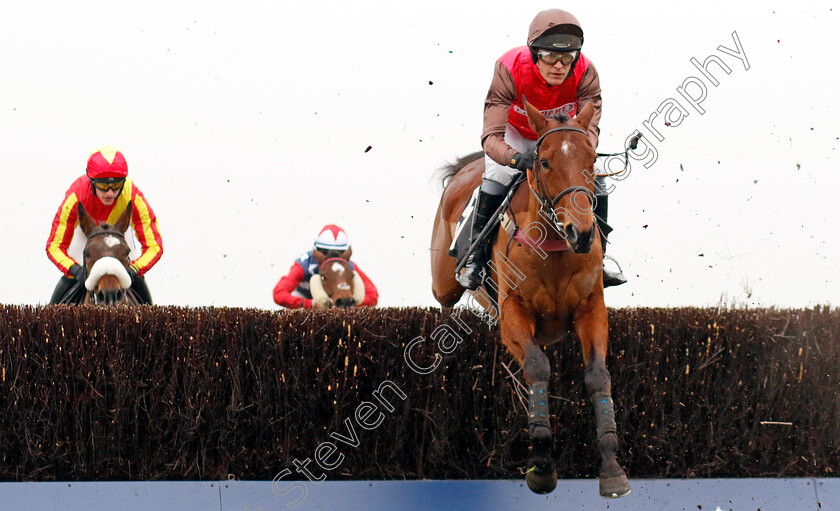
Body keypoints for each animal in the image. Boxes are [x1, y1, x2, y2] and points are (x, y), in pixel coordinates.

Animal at [434, 101, 632, 500]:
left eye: (591, 159)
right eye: (544, 162)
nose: (581, 233)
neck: (554, 246)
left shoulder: (591, 309)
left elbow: (598, 376)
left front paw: (611, 467)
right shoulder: (513, 314)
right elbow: (538, 367)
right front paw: (541, 464)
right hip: (442, 281)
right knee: (444, 302)